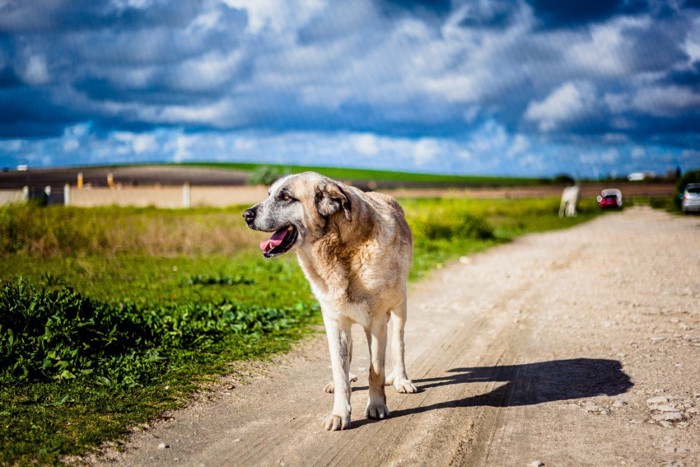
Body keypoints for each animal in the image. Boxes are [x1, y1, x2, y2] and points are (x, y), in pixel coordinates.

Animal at [243, 172, 416, 432]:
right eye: (269, 194)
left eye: (286, 197)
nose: (246, 215)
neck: (338, 252)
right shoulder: (334, 322)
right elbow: (339, 370)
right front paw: (340, 413)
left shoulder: (376, 324)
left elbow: (375, 370)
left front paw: (377, 406)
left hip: (399, 309)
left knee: (399, 345)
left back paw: (402, 379)